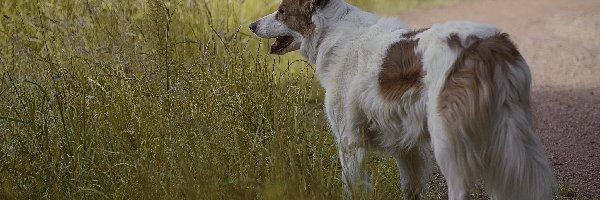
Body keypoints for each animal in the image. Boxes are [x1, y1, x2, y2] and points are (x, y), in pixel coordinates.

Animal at [250, 0, 556, 198]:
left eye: (281, 11)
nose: (252, 24)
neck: (334, 32)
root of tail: (489, 44)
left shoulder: (349, 140)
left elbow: (351, 186)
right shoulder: (407, 146)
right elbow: (410, 188)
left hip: (448, 140)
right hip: (513, 133)